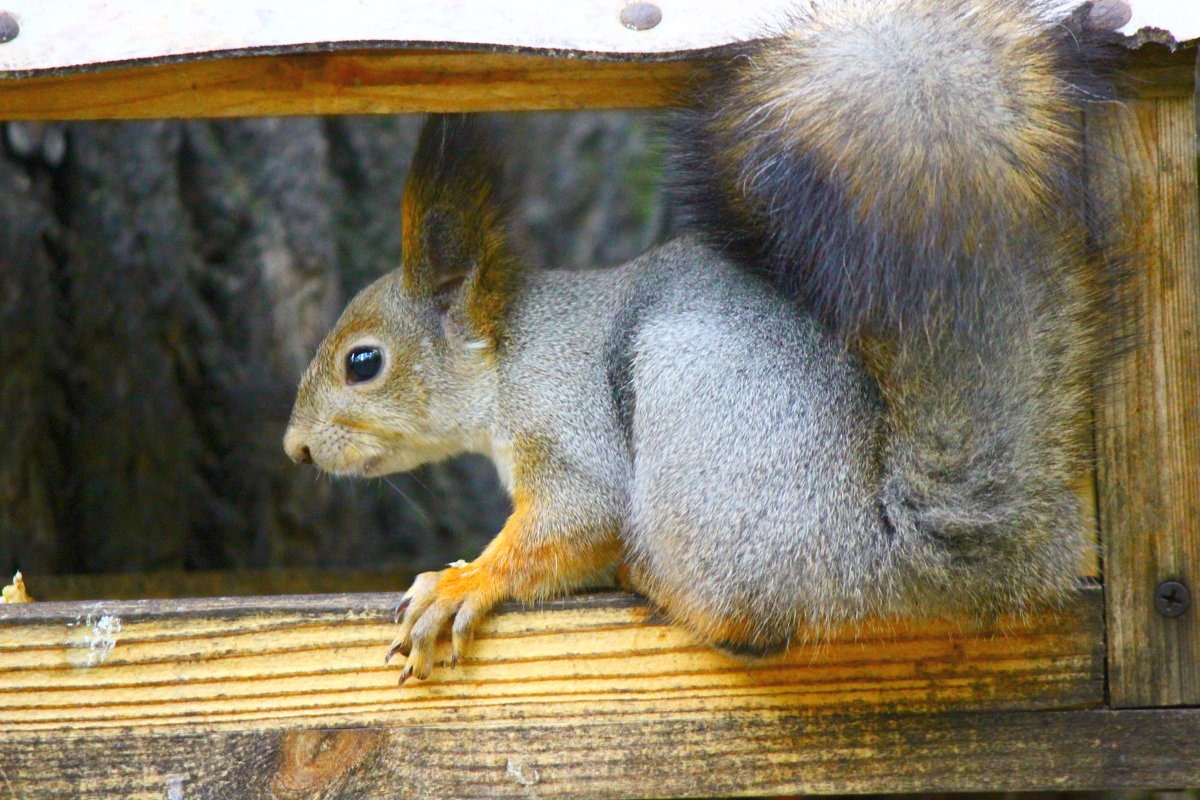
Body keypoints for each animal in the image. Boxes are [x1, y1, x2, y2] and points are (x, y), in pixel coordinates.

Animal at [280, 0, 1123, 681]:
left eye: (363, 363)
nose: (296, 450)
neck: (511, 353)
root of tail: (892, 556)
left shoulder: (566, 418)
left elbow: (577, 515)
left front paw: (461, 582)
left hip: (695, 405)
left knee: (739, 612)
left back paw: (650, 578)